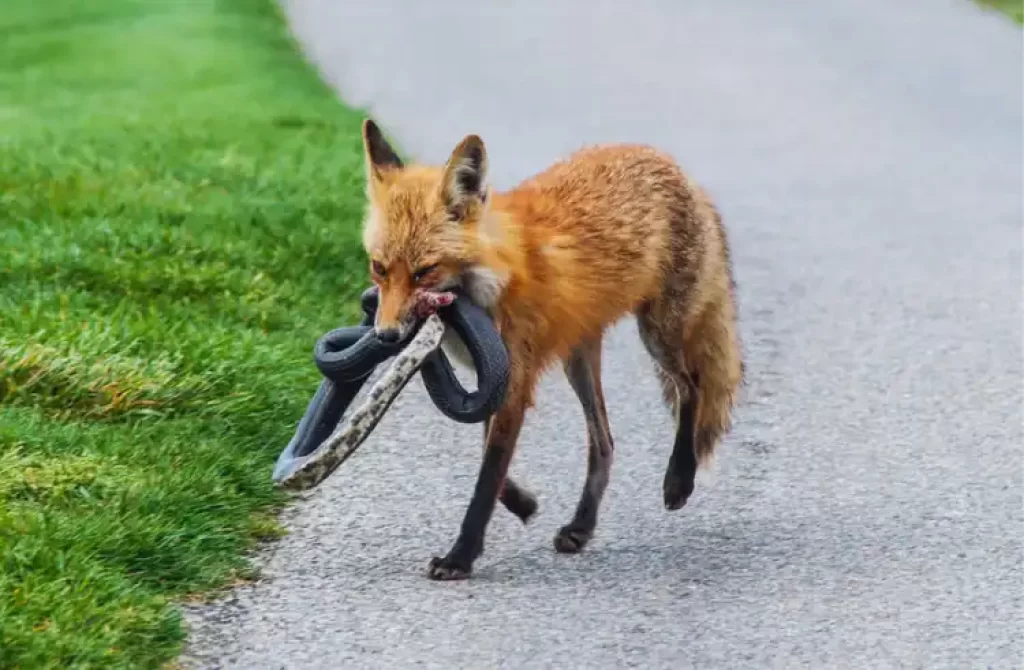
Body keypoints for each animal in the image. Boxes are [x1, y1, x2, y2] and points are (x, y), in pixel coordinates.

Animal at [360, 118, 745, 581]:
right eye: (379, 268)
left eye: (424, 272)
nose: (387, 336)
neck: (491, 283)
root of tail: (674, 166)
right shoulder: (493, 383)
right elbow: (492, 464)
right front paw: (524, 504)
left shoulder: (514, 382)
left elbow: (486, 480)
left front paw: (460, 557)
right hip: (578, 360)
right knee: (605, 443)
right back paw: (581, 526)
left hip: (659, 335)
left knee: (691, 388)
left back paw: (679, 479)